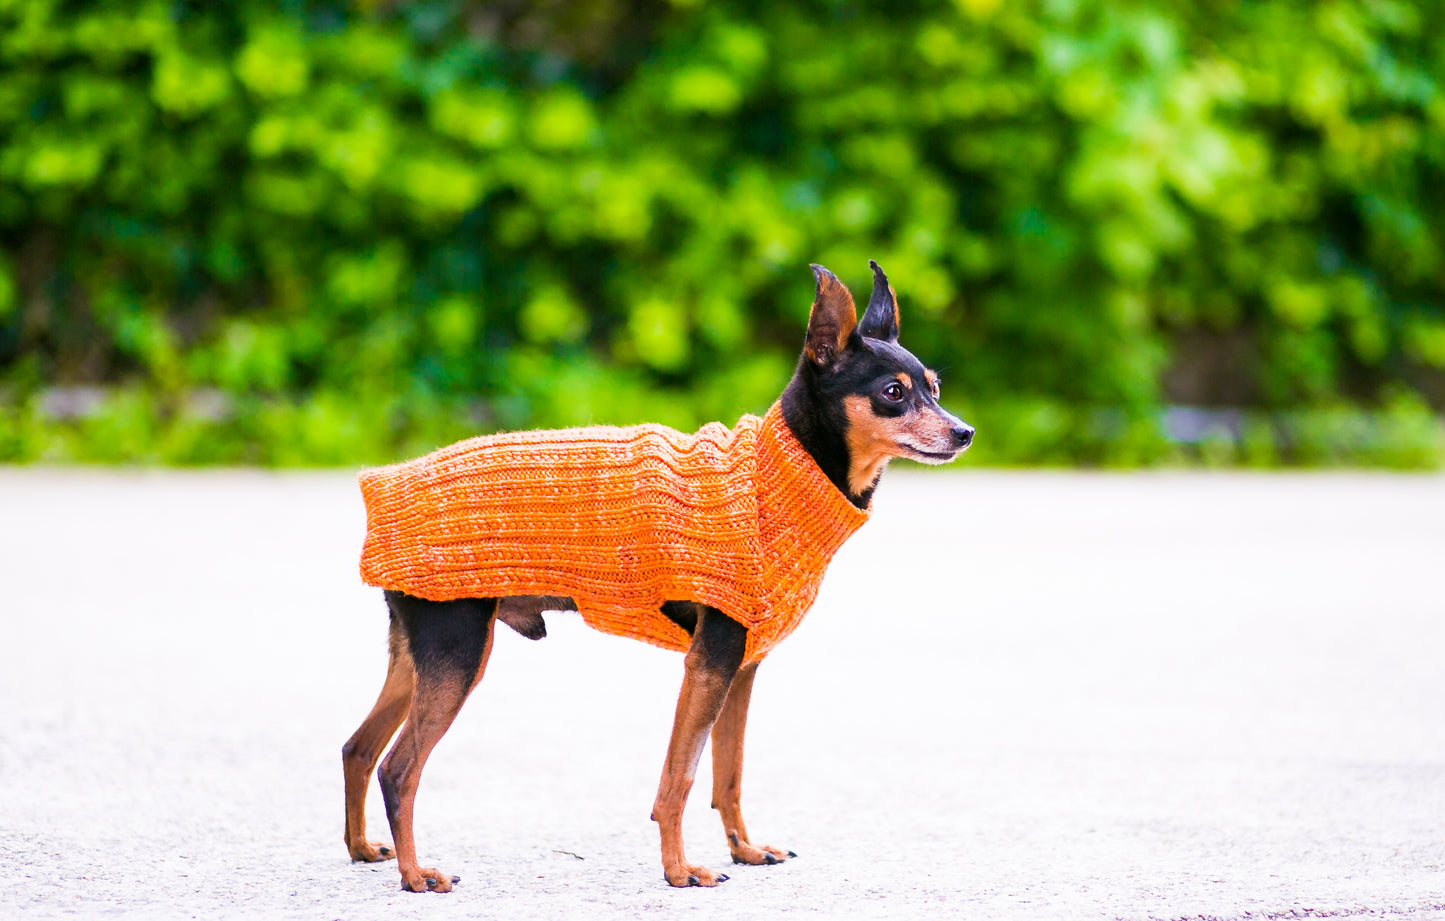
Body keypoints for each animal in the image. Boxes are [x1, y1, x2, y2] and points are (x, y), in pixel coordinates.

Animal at [341, 258, 971, 890]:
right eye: (893, 392)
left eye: (935, 389)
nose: (963, 432)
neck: (774, 480)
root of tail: (385, 490)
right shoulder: (709, 664)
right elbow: (680, 778)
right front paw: (678, 870)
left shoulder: (740, 669)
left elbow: (728, 775)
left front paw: (744, 850)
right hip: (459, 653)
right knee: (399, 769)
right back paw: (416, 874)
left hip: (419, 658)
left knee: (358, 748)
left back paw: (365, 849)